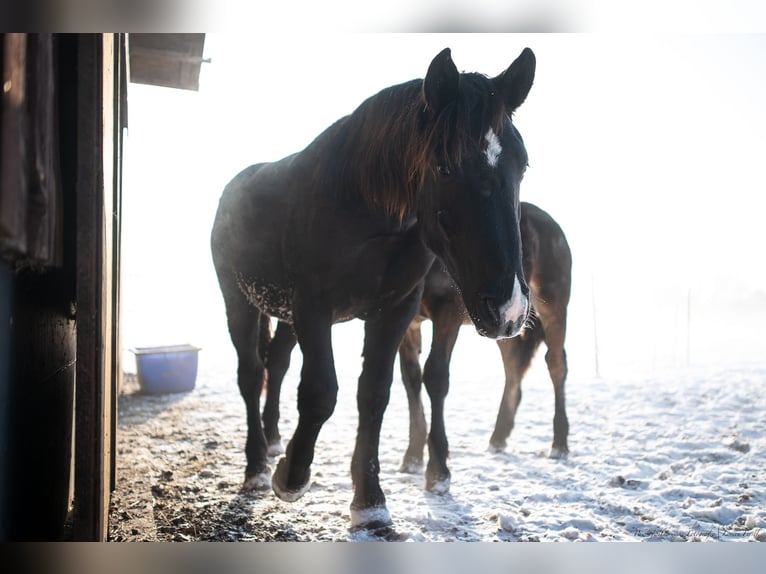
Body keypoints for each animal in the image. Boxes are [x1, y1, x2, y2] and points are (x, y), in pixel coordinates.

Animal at [207, 48, 536, 532]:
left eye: (522, 164)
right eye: (445, 167)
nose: (509, 308)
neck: (362, 207)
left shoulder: (395, 310)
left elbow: (375, 394)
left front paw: (369, 500)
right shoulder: (314, 307)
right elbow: (321, 391)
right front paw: (292, 475)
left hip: (284, 315)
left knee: (276, 364)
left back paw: (272, 441)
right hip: (240, 302)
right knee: (251, 374)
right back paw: (257, 467)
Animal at [400, 202, 572, 496]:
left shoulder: (448, 312)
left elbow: (435, 376)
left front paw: (438, 473)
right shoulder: (404, 321)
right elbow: (411, 380)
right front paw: (412, 458)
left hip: (553, 305)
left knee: (556, 364)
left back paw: (559, 444)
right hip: (506, 324)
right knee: (513, 368)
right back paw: (498, 438)